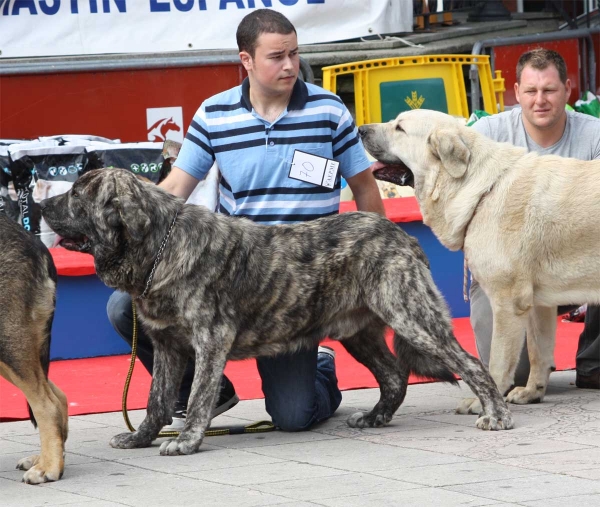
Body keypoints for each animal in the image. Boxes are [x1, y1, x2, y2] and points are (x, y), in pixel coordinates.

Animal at [358, 109, 600, 414]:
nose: (360, 130)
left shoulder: (508, 302)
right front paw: (531, 392)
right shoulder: (538, 304)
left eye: (399, 128)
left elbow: (497, 359)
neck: (481, 190)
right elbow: (539, 353)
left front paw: (487, 399)